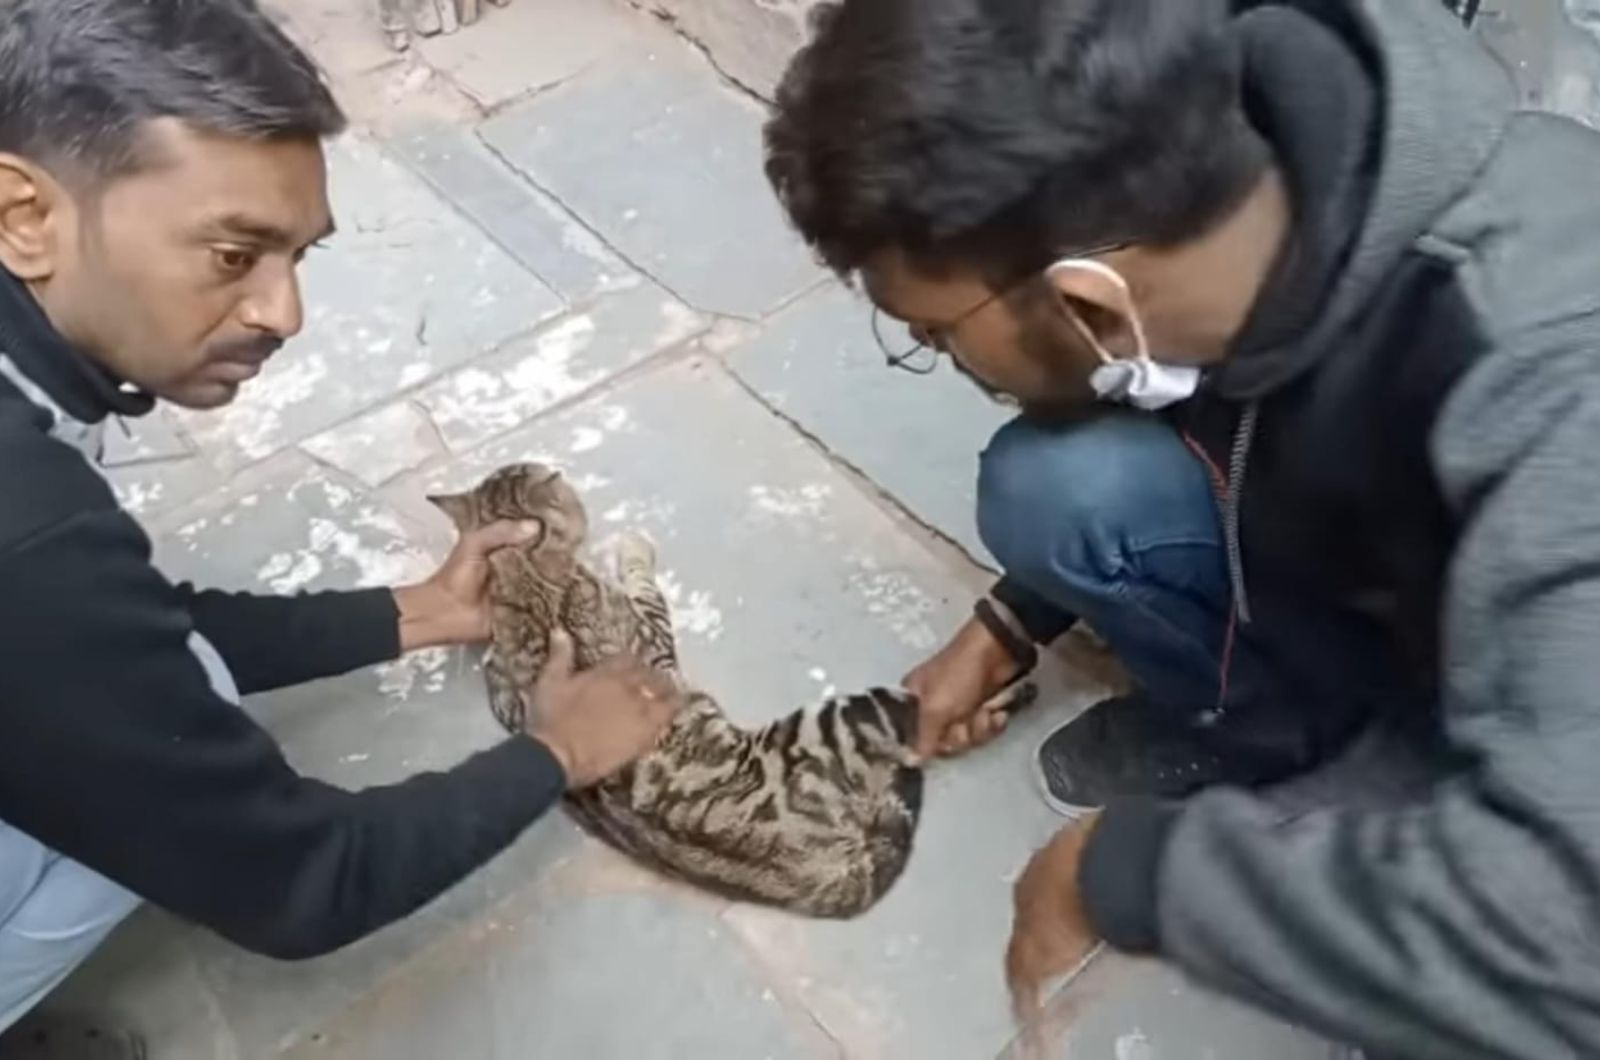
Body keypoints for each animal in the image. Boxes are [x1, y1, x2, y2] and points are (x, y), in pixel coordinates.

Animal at [432, 464, 1030, 922]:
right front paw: (633, 549)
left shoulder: (506, 685)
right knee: (926, 733)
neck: (524, 578)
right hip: (847, 711)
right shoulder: (653, 643)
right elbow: (645, 588)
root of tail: (832, 874)